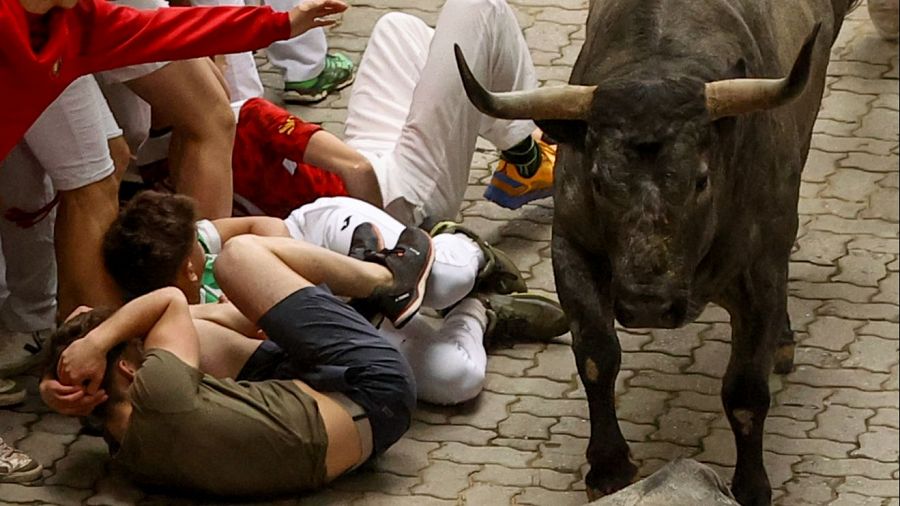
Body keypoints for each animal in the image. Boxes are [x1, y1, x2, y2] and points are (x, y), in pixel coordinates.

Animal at [458, 1, 856, 504]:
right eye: (598, 181)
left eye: (701, 179)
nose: (648, 303)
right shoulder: (571, 247)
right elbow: (596, 356)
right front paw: (608, 467)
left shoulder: (761, 270)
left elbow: (746, 392)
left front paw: (751, 487)